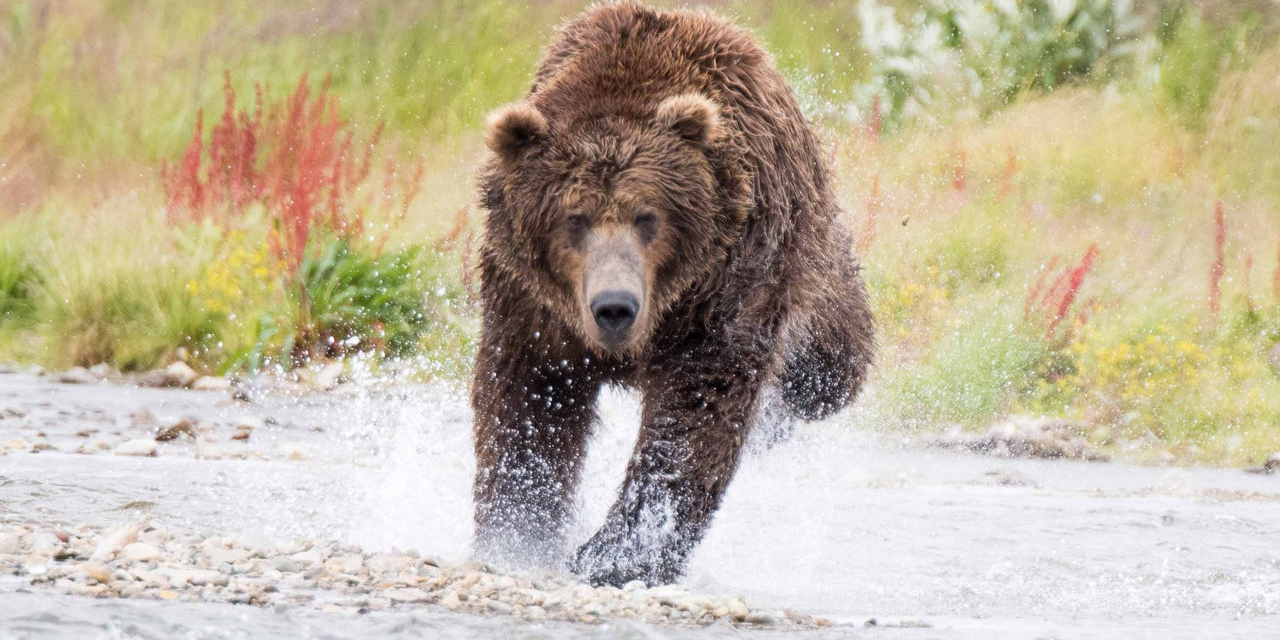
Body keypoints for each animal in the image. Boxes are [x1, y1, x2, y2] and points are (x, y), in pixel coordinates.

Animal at [476, 1, 875, 588]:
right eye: (574, 218)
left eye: (648, 216)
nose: (614, 307)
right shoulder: (534, 307)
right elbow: (529, 405)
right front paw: (515, 531)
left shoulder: (727, 281)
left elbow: (695, 408)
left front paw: (613, 556)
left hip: (810, 258)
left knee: (829, 367)